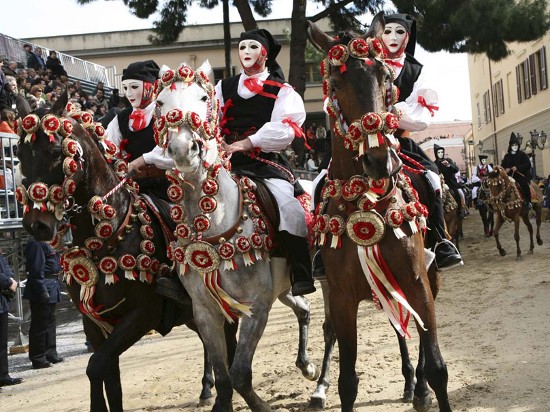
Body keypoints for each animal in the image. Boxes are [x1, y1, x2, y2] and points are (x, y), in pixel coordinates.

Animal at [15, 94, 234, 412]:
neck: (107, 238)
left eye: (56, 152)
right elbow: (109, 377)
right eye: (19, 154)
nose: (36, 225)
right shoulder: (95, 323)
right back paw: (208, 387)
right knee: (209, 340)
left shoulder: (142, 315)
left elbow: (96, 366)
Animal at [155, 61, 320, 412]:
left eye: (204, 98)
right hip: (282, 289)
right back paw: (307, 366)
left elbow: (240, 373)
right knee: (303, 309)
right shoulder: (206, 311)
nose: (183, 150)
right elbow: (224, 376)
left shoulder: (256, 305)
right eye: (160, 102)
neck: (214, 226)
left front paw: (261, 406)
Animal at [310, 12, 452, 412]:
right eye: (337, 82)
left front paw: (426, 385)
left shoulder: (418, 283)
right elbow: (347, 381)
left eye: (385, 77)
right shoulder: (341, 297)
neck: (366, 202)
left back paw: (418, 387)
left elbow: (437, 367)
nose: (379, 161)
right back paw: (408, 382)